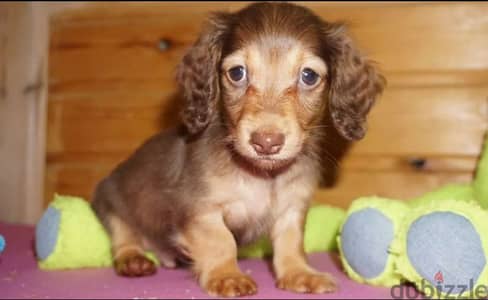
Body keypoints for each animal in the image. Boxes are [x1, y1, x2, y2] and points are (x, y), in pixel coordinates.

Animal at [91, 1, 386, 298]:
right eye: (237, 73)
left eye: (309, 76)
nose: (266, 142)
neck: (262, 175)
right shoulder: (200, 208)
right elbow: (221, 241)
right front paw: (227, 276)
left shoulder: (291, 207)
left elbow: (291, 243)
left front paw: (298, 273)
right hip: (110, 201)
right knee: (123, 236)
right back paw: (133, 259)